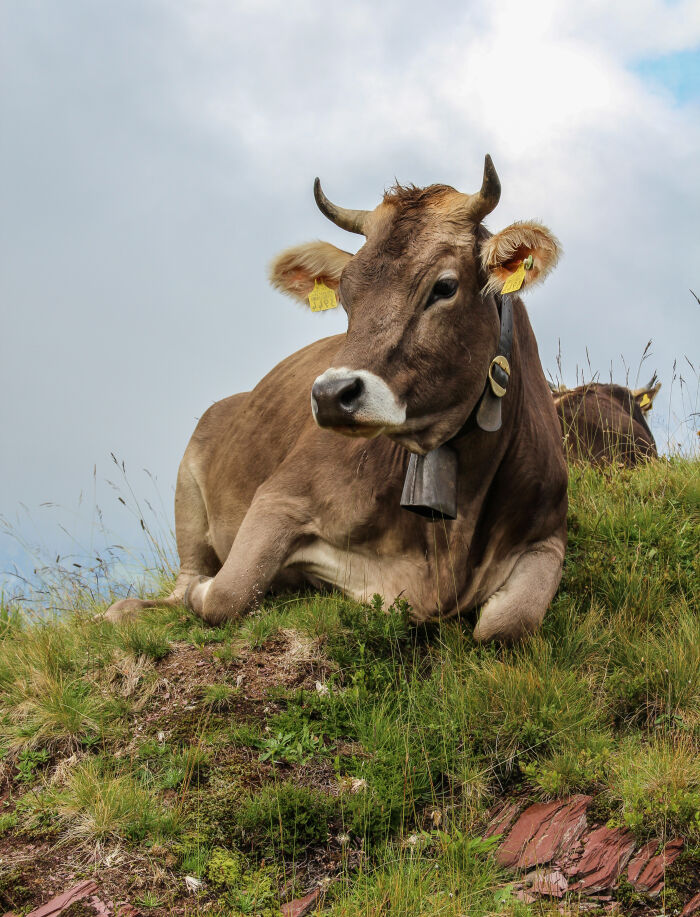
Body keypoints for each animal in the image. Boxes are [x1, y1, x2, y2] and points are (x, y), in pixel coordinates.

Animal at [106, 156, 572, 644]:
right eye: (345, 296)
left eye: (444, 287)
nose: (331, 395)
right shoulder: (277, 498)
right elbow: (226, 594)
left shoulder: (548, 536)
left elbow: (506, 625)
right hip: (188, 488)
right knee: (185, 580)